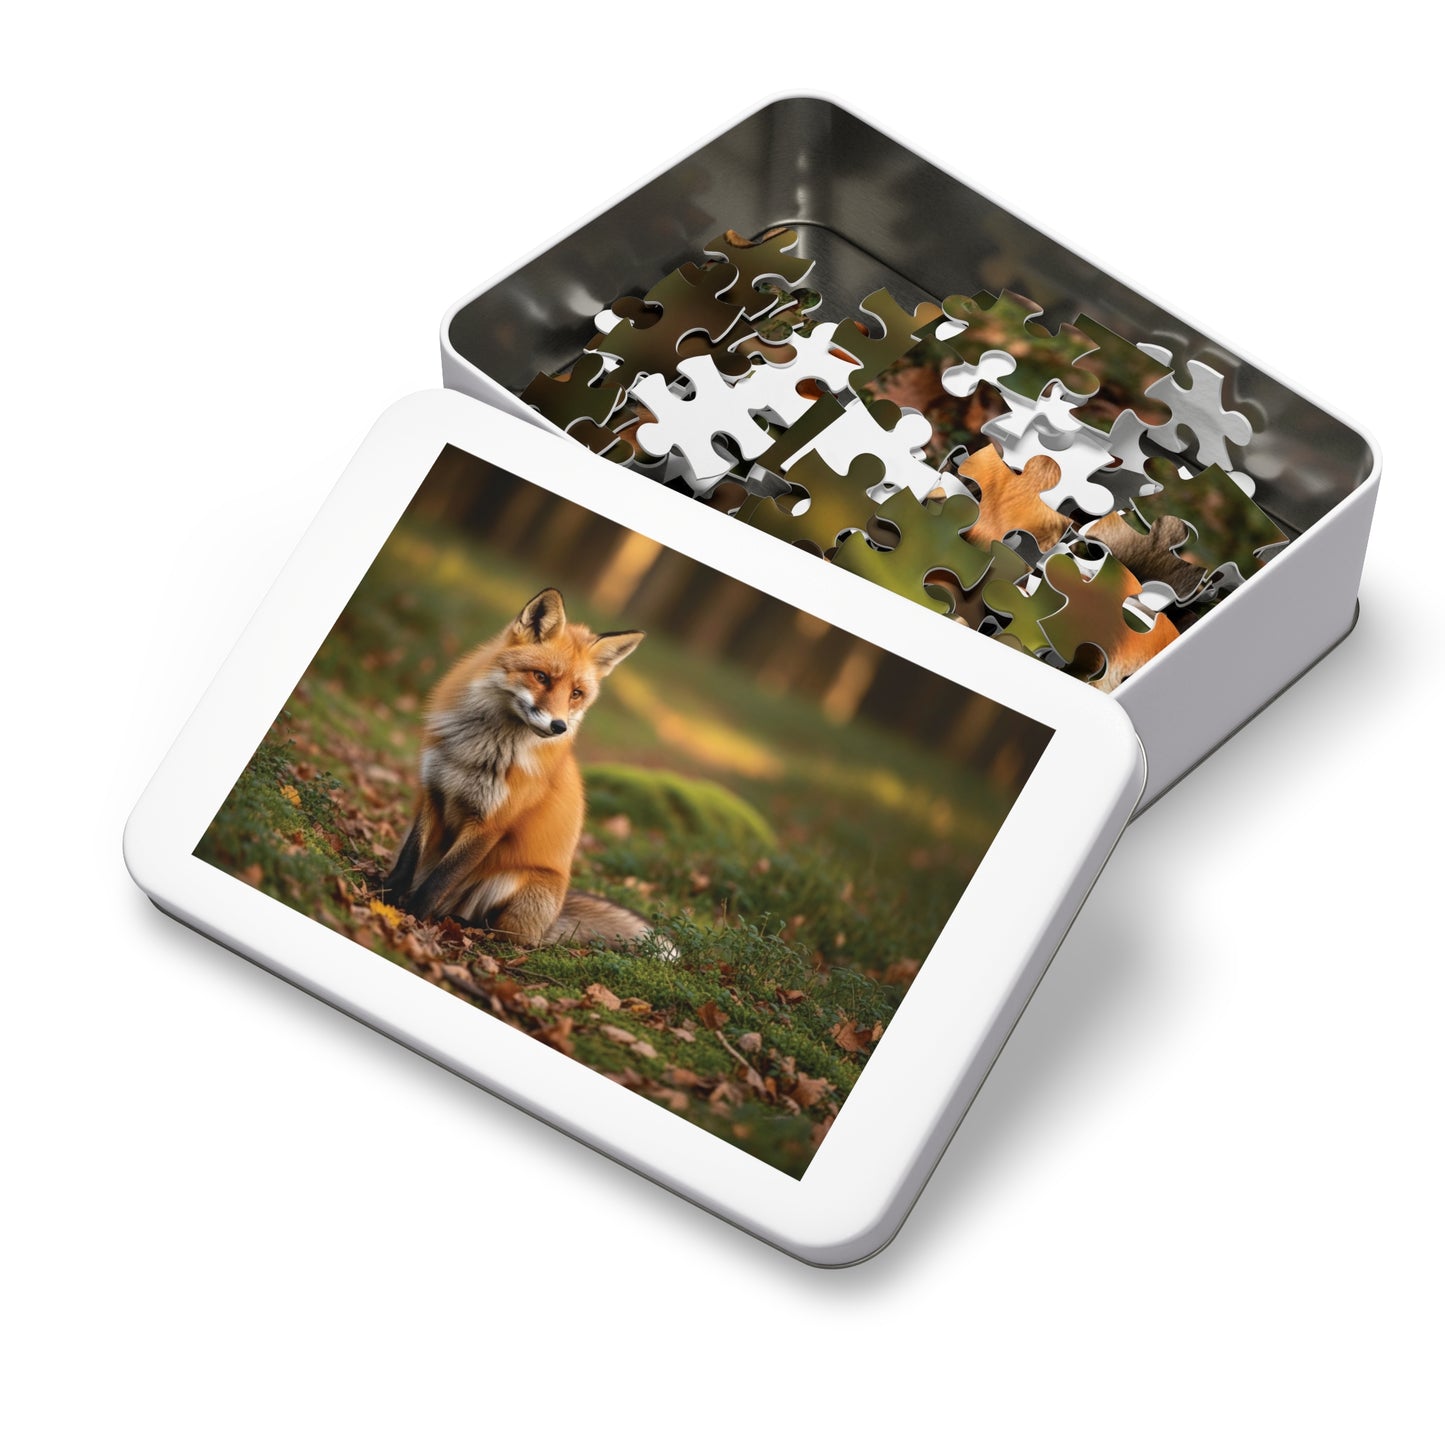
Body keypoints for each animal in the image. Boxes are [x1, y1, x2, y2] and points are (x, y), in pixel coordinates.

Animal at [384, 587, 652, 949]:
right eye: (541, 677)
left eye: (576, 694)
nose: (559, 727)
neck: (480, 749)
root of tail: (554, 917)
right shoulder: (433, 793)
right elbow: (410, 859)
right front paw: (385, 897)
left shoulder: (491, 823)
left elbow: (439, 881)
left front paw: (411, 916)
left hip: (514, 883)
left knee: (503, 933)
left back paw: (459, 924)